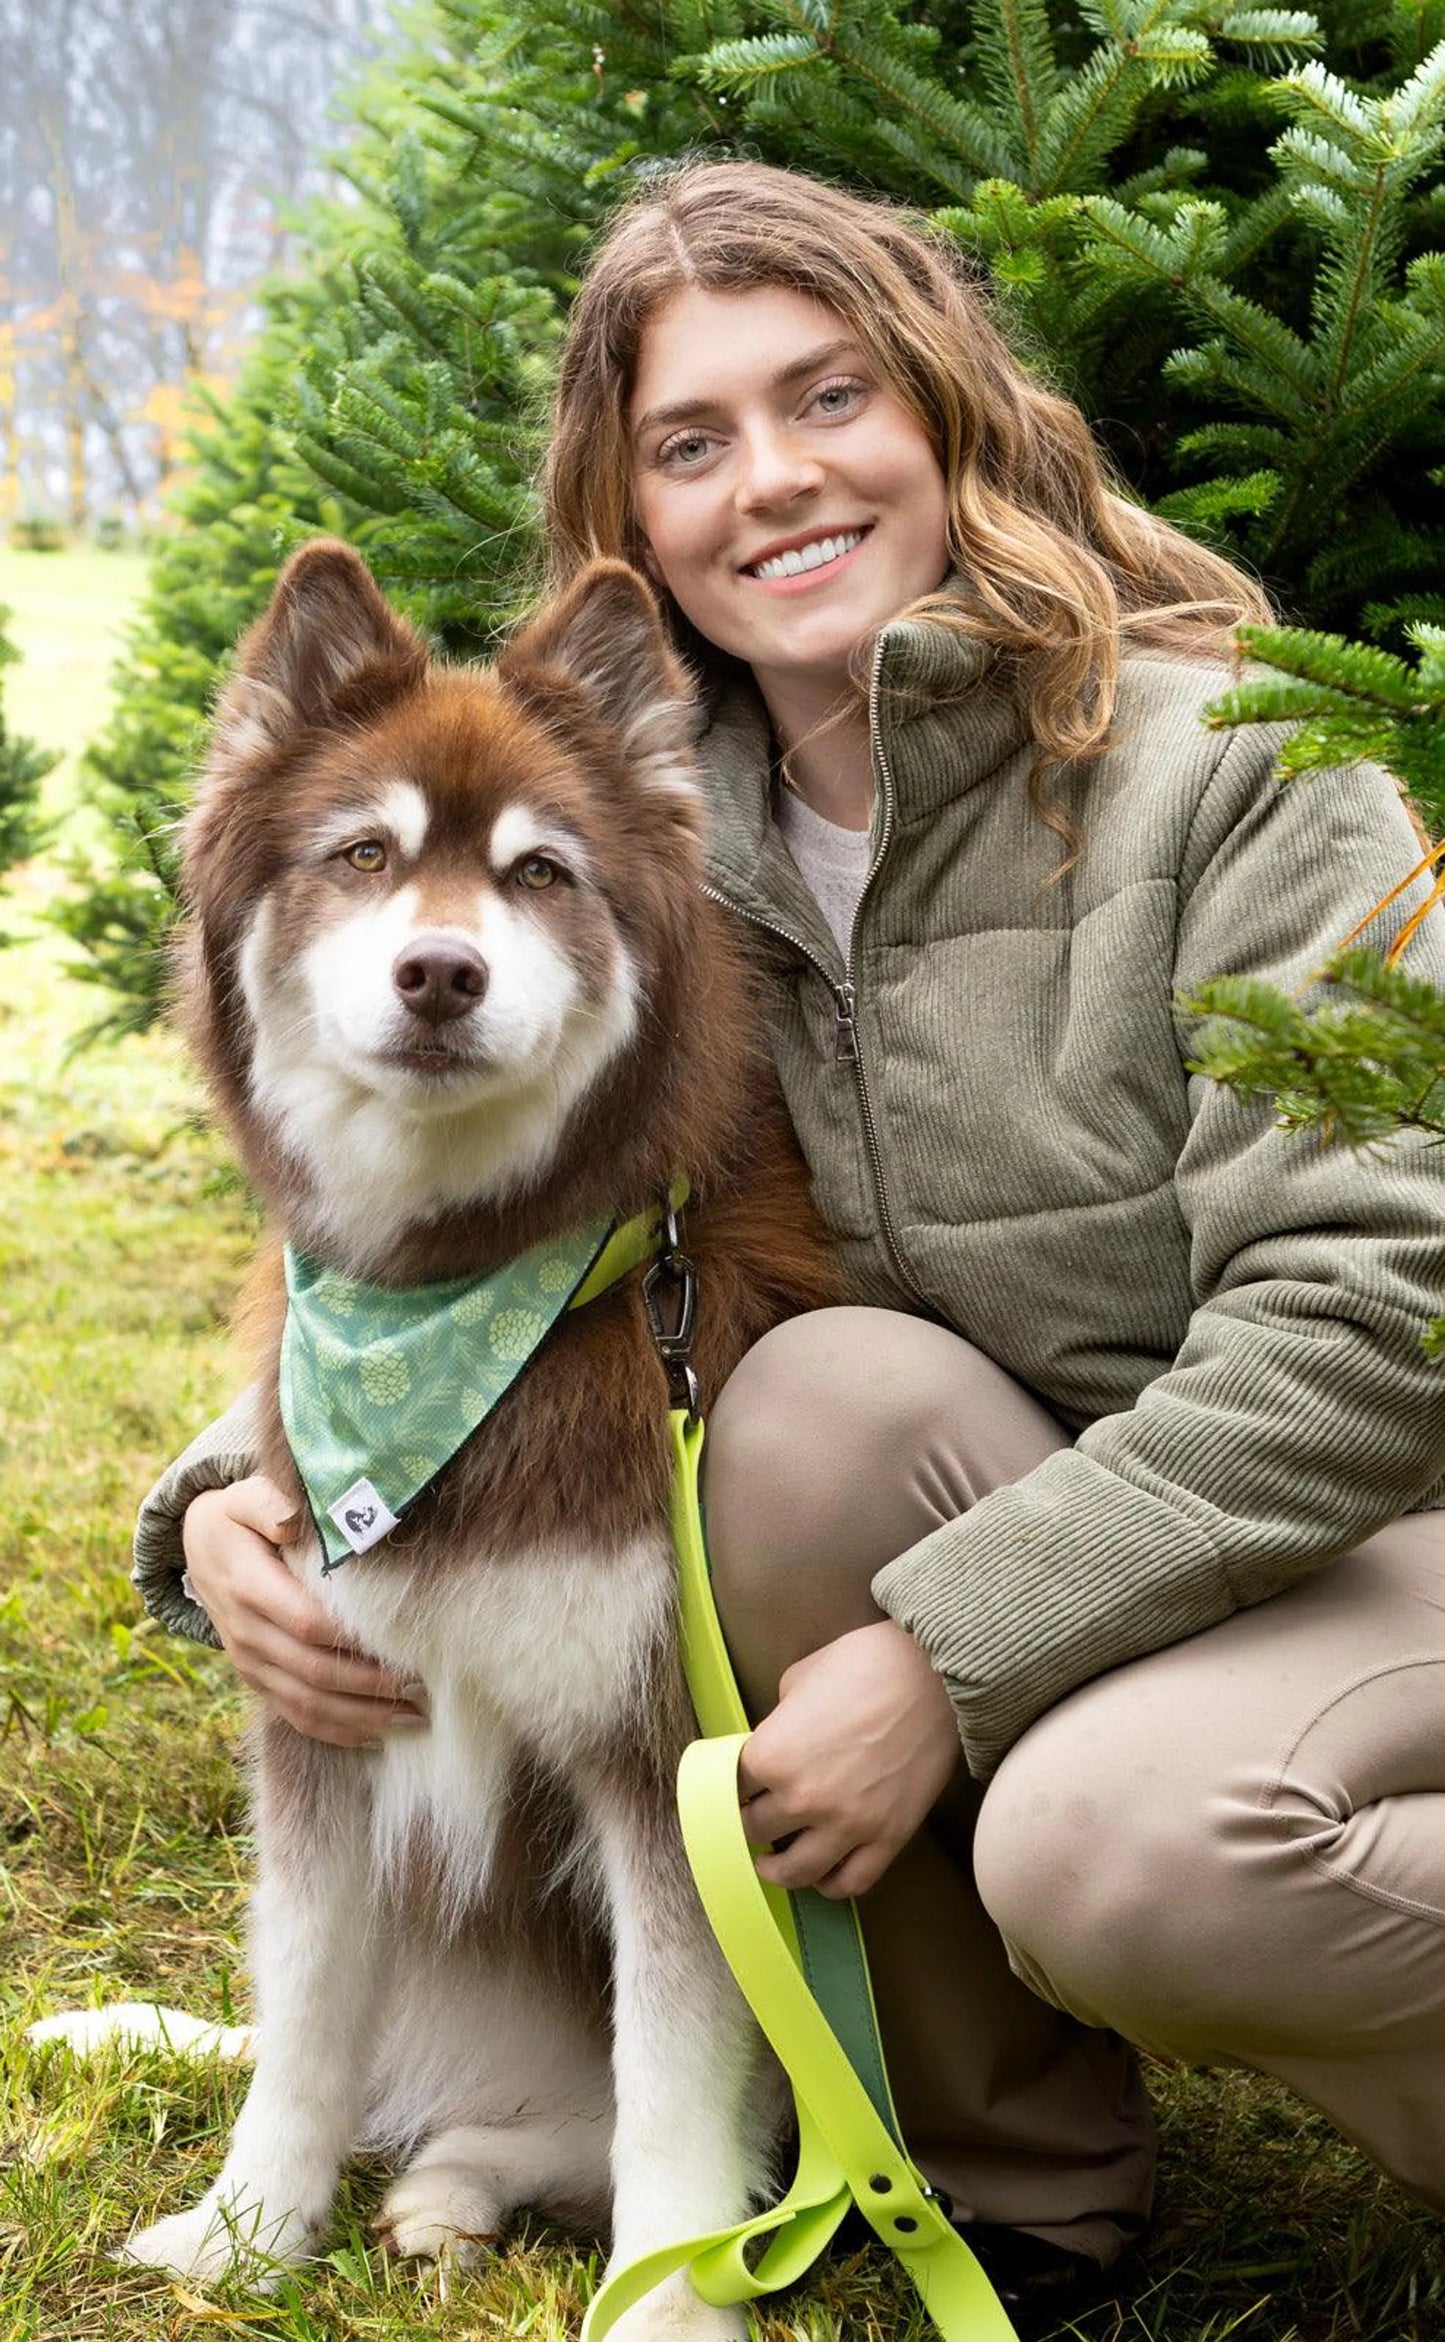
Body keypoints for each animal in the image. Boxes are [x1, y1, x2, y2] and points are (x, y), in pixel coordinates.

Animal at [122, 543, 833, 2323]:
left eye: (538, 873)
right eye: (363, 853)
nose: (439, 971)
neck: (448, 1307)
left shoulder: (672, 1755)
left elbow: (675, 2072)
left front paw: (666, 2297)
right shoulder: (321, 1720)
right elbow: (305, 2015)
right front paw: (247, 2232)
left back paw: (474, 2188)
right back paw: (441, 2178)